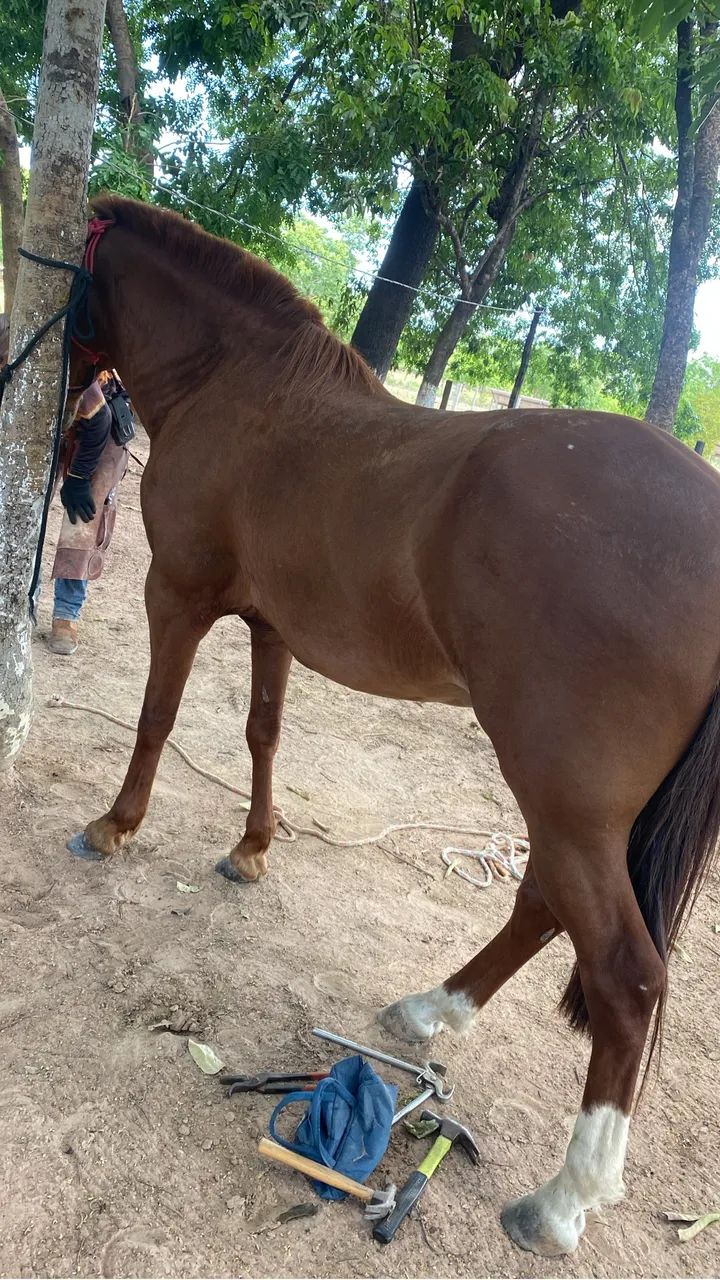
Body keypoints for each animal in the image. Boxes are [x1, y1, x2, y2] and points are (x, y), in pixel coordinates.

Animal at [67, 195, 720, 1257]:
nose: (80, 417)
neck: (241, 390)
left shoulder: (179, 594)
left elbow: (157, 717)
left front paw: (115, 826)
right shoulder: (271, 625)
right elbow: (262, 731)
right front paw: (251, 848)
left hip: (562, 792)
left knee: (623, 973)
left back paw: (564, 1198)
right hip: (568, 805)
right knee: (542, 902)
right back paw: (429, 1010)